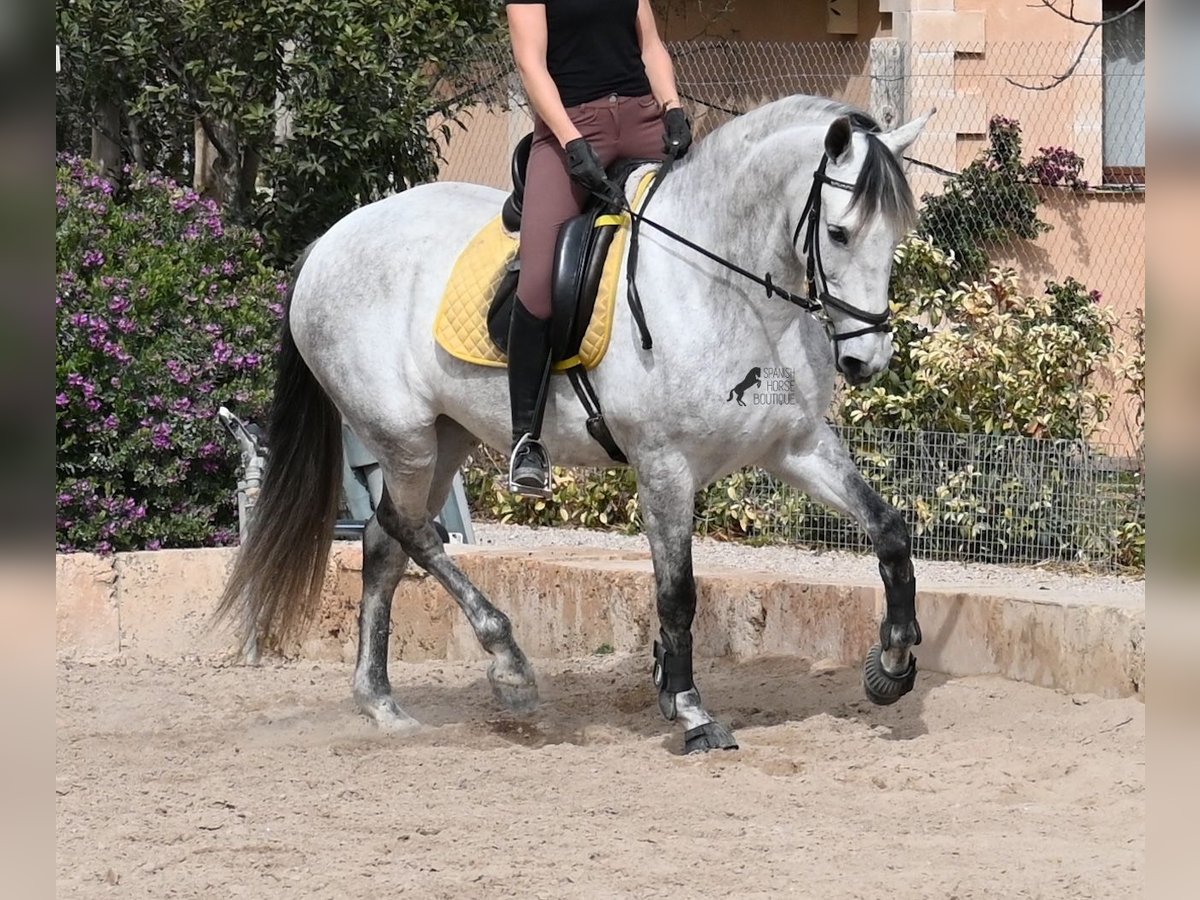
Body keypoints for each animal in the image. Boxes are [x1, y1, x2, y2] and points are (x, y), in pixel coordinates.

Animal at [220, 95, 931, 753]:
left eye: (898, 231)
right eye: (839, 233)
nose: (866, 360)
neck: (726, 287)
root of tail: (329, 240)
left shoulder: (797, 447)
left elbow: (890, 531)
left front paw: (893, 662)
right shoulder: (664, 466)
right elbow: (677, 592)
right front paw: (690, 710)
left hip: (445, 437)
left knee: (383, 540)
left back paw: (381, 702)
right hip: (405, 438)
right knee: (410, 530)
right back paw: (507, 665)